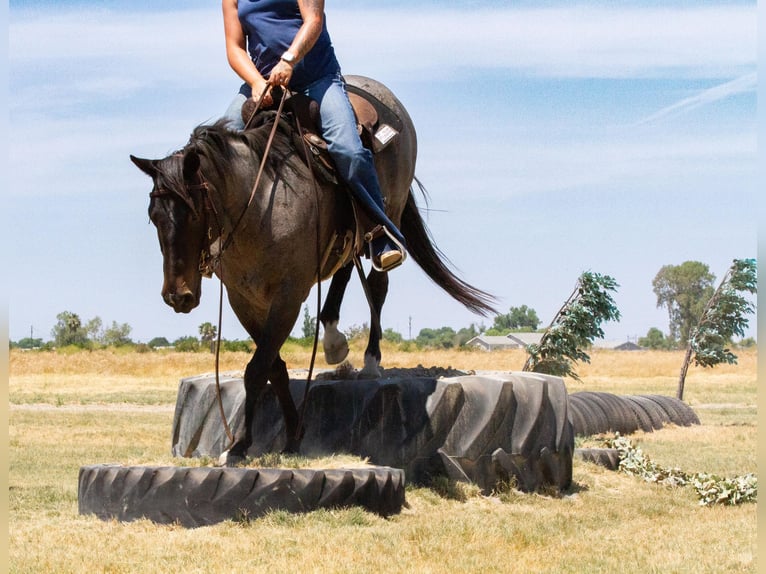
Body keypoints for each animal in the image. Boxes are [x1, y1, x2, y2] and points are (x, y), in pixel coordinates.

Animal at [131, 76, 496, 463]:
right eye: (154, 217)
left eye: (193, 213)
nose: (178, 295)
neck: (261, 202)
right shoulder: (243, 299)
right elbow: (273, 365)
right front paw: (292, 433)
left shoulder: (289, 295)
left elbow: (257, 368)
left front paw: (242, 444)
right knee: (345, 268)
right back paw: (334, 339)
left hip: (388, 216)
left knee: (377, 282)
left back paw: (370, 360)